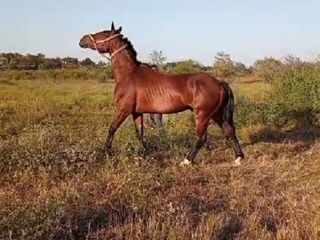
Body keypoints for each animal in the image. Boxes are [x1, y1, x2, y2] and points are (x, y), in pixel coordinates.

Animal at [79, 22, 244, 165]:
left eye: (103, 33)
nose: (82, 40)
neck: (129, 74)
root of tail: (219, 82)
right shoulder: (137, 112)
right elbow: (140, 133)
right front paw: (144, 153)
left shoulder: (124, 110)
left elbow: (112, 128)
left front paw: (106, 151)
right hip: (216, 114)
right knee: (229, 130)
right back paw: (238, 158)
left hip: (203, 115)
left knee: (201, 138)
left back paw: (187, 161)